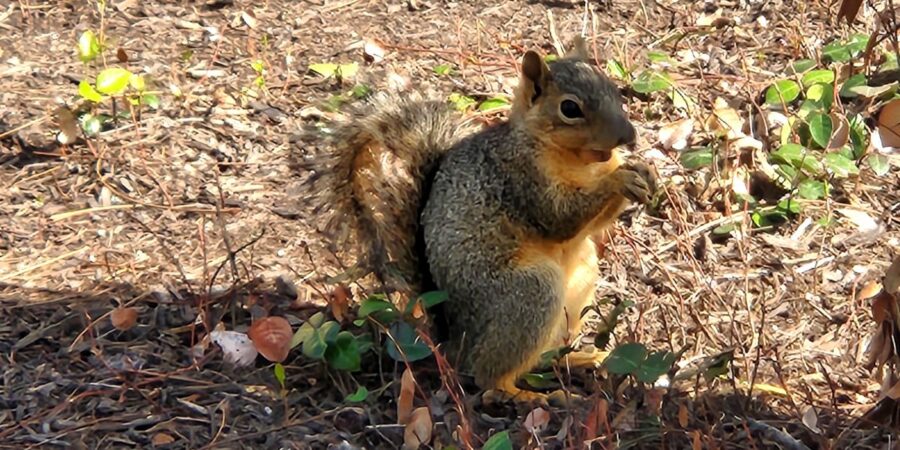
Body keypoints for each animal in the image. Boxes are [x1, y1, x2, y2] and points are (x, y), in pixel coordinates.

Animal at [300, 37, 657, 403]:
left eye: (613, 91)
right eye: (570, 109)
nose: (628, 136)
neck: (578, 160)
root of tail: (455, 340)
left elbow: (595, 224)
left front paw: (643, 172)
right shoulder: (519, 178)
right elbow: (558, 217)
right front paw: (619, 179)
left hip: (581, 276)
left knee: (541, 357)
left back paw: (580, 357)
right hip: (529, 293)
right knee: (487, 374)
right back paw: (521, 394)